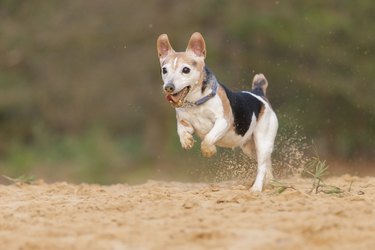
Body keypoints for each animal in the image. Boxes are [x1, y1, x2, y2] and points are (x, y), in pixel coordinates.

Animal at [156, 31, 280, 191]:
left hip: (263, 140)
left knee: (262, 166)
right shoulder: (183, 120)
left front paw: (209, 151)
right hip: (250, 148)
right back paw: (270, 182)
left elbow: (209, 138)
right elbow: (181, 129)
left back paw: (256, 188)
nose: (168, 87)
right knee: (266, 163)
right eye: (164, 70)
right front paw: (186, 140)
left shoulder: (223, 121)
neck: (197, 102)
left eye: (186, 70)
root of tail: (259, 93)